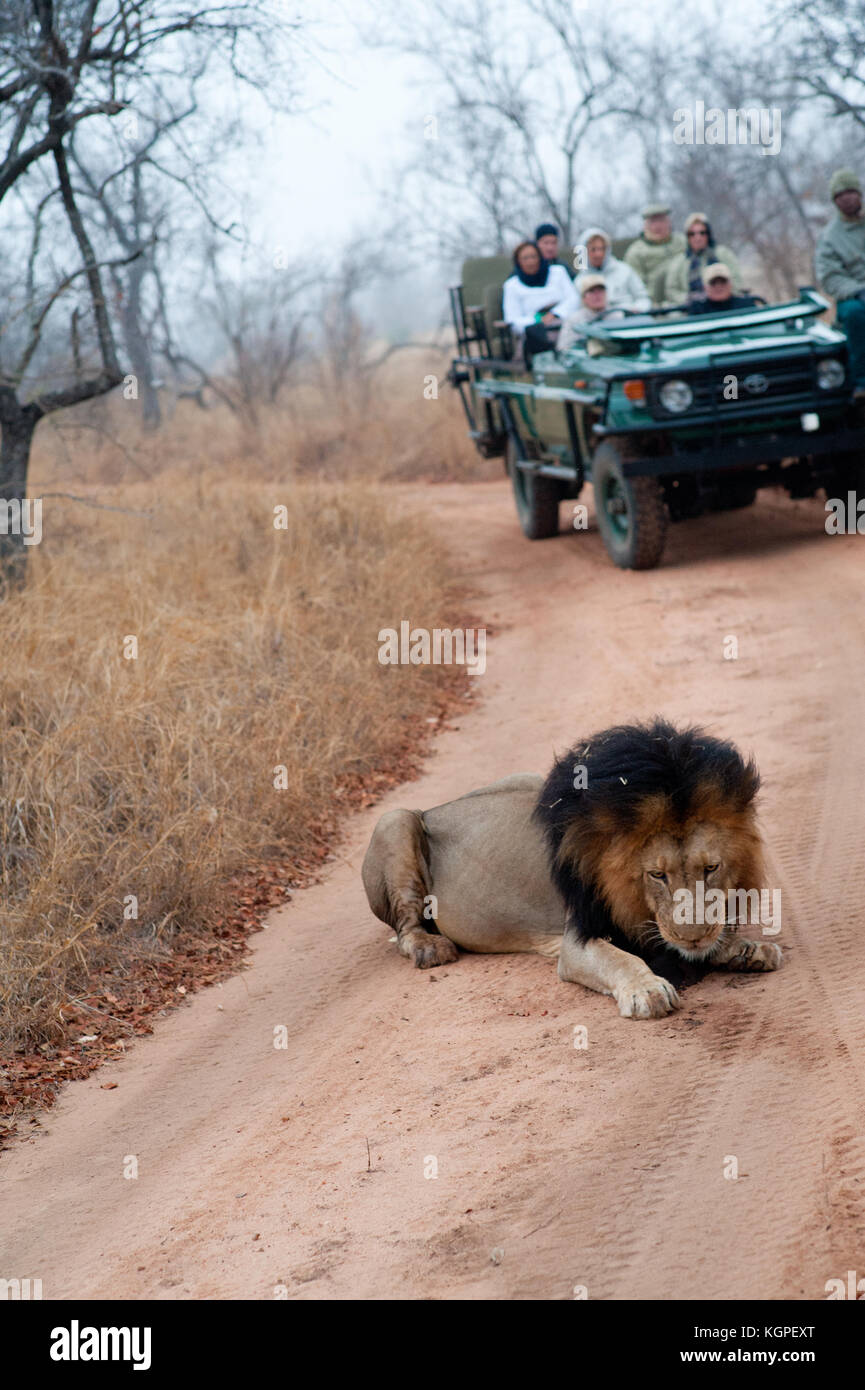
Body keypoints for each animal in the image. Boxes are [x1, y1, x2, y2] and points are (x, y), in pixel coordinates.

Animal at [361, 722, 784, 1017]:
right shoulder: (577, 938)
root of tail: (435, 807)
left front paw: (746, 949)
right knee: (406, 928)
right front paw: (646, 990)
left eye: (711, 868)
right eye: (657, 875)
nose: (691, 937)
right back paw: (430, 948)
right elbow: (620, 959)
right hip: (395, 820)